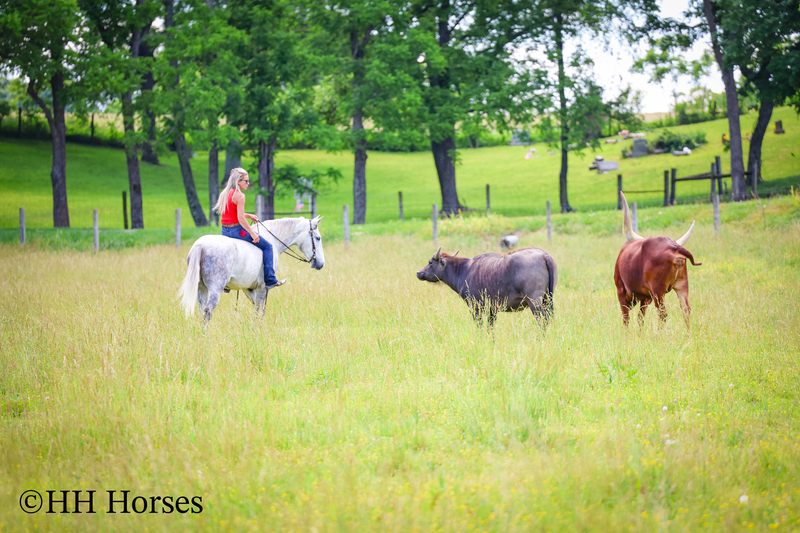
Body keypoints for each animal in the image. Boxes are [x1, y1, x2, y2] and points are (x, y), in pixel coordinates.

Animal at [178, 216, 325, 322]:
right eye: (318, 238)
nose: (321, 263)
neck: (272, 241)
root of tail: (200, 245)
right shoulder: (263, 287)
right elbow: (260, 308)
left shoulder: (248, 288)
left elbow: (257, 307)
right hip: (215, 289)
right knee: (208, 311)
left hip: (201, 288)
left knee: (201, 309)